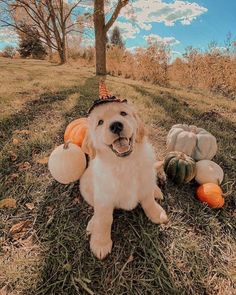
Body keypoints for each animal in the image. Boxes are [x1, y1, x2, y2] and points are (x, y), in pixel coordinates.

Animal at [79, 100, 168, 260]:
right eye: (100, 122)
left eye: (123, 113)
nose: (116, 125)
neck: (125, 163)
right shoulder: (103, 196)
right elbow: (104, 219)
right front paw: (100, 243)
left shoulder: (145, 182)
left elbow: (148, 201)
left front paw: (156, 213)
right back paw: (92, 224)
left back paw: (157, 191)